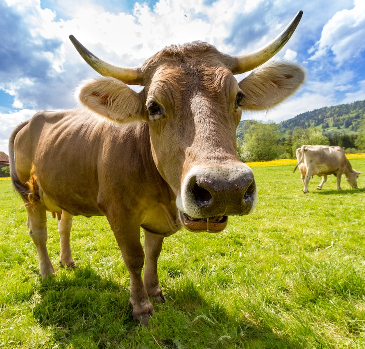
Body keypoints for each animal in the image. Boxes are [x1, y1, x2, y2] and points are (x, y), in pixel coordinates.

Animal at [8, 11, 304, 324]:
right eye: (153, 107)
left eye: (238, 97)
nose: (226, 188)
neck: (162, 194)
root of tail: (33, 118)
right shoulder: (119, 212)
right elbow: (134, 257)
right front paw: (141, 305)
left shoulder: (156, 220)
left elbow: (153, 253)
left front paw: (155, 292)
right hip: (30, 194)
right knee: (38, 233)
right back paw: (48, 272)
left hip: (63, 190)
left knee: (64, 225)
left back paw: (67, 262)